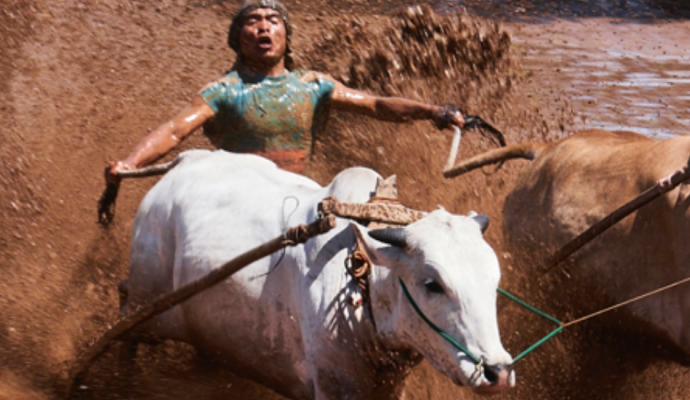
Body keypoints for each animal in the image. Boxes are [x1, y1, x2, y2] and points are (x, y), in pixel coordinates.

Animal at [123, 149, 515, 399]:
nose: (497, 372)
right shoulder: (334, 387)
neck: (361, 288)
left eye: (493, 283)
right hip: (145, 307)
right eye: (432, 284)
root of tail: (185, 161)